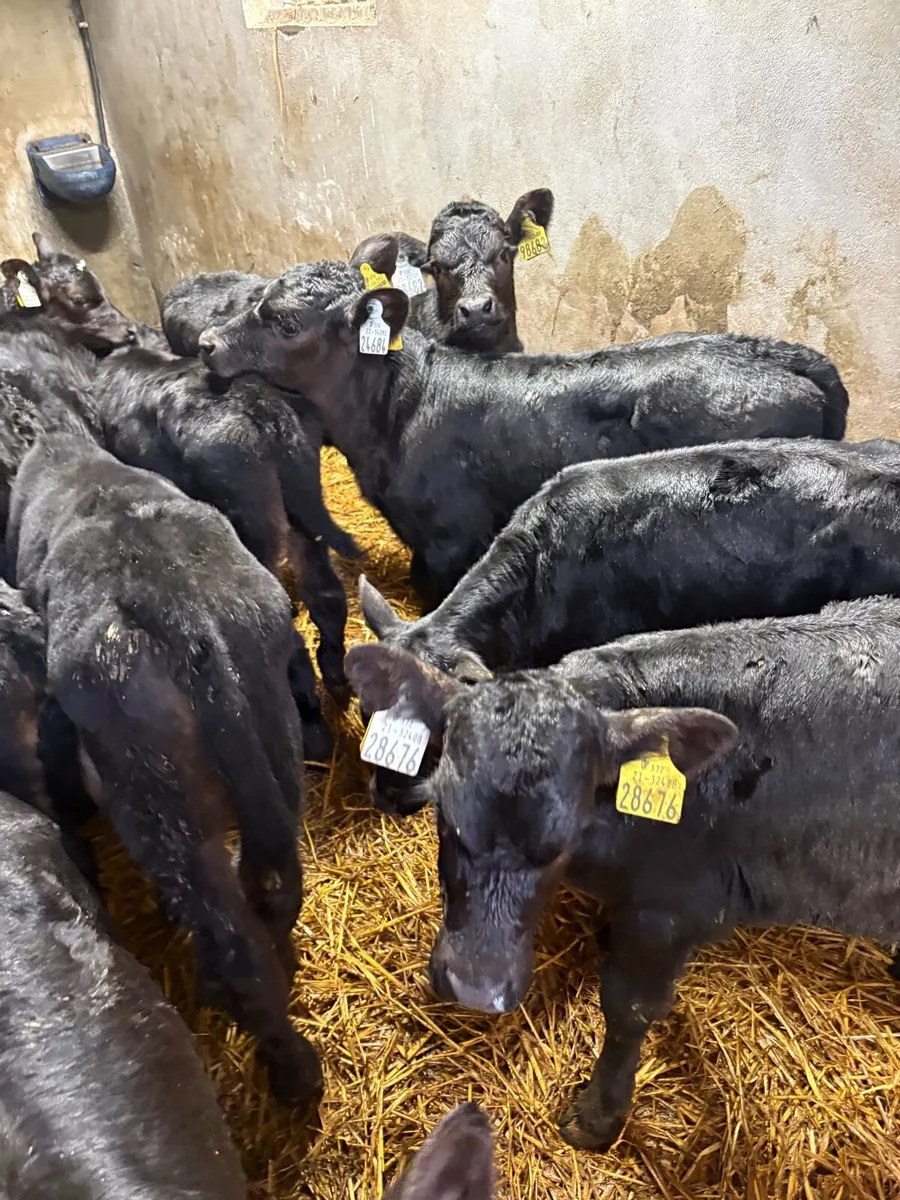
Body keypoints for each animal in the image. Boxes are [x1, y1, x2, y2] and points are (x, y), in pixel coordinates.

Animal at [8, 433, 323, 1107]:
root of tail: (178, 609)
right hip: (275, 760)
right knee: (272, 890)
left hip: (162, 810)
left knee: (234, 946)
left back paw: (289, 1069)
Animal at [94, 341, 360, 755]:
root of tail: (262, 405)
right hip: (302, 511)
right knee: (326, 595)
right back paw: (335, 679)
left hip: (252, 525)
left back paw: (312, 727)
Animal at [345, 595, 900, 1152]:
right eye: (446, 812)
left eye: (564, 840)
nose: (476, 988)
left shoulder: (668, 911)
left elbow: (627, 1008)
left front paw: (597, 1116)